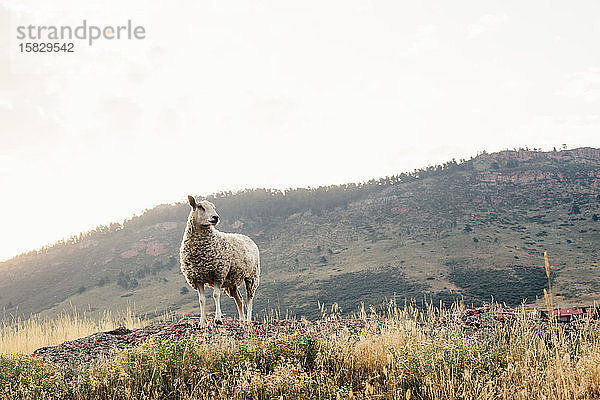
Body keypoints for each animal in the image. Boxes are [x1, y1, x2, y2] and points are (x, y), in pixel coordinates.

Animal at [180, 196, 260, 324]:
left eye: (214, 207)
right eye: (200, 207)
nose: (215, 217)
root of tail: (247, 237)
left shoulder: (218, 274)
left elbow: (216, 295)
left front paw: (218, 319)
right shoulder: (197, 278)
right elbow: (201, 300)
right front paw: (202, 322)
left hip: (252, 276)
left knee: (249, 298)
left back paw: (247, 320)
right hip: (233, 280)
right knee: (239, 299)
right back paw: (241, 320)